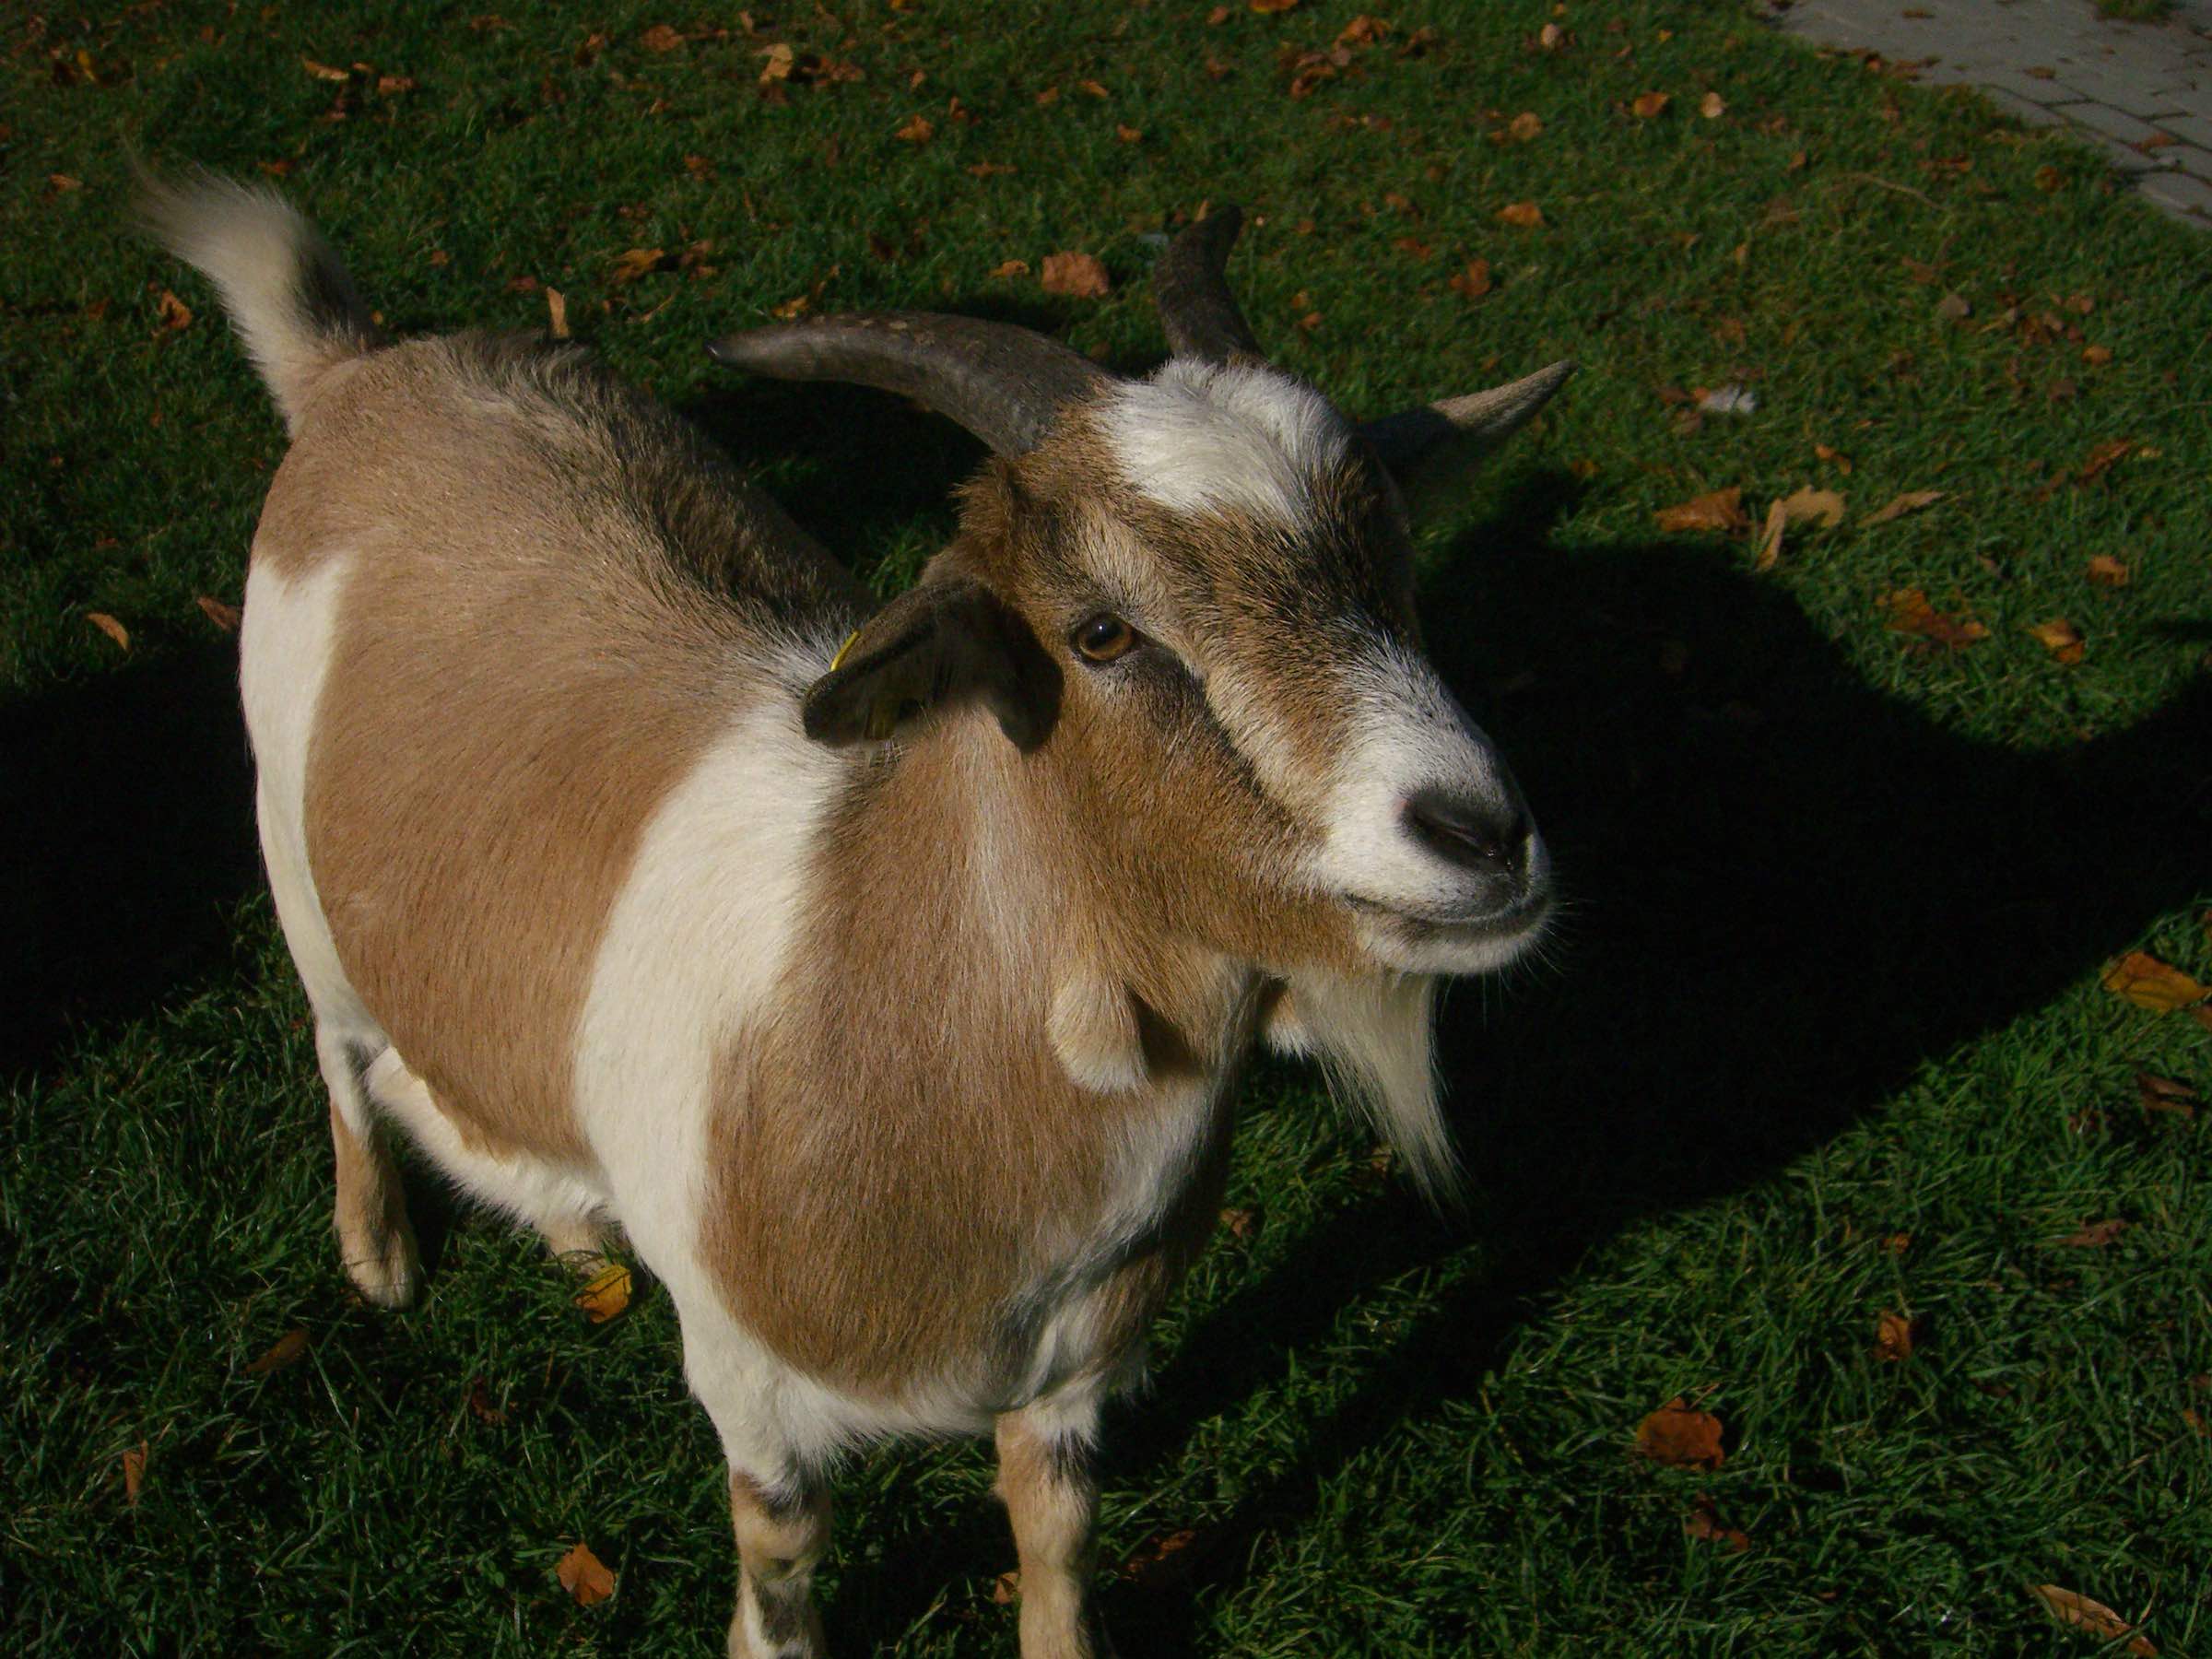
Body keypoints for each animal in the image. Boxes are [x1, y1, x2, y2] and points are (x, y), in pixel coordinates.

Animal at [147, 172, 1568, 1658]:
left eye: (1390, 554)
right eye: (1100, 632)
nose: (1480, 834)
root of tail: (355, 370)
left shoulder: (1072, 1378)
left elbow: (1055, 1533)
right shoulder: (750, 1390)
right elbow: (782, 1564)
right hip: (299, 878)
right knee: (342, 1053)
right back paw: (377, 1256)